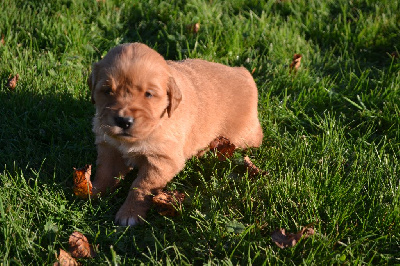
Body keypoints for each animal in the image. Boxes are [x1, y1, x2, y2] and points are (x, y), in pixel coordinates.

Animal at [88, 42, 262, 225]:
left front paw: (130, 213)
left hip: (242, 136)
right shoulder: (109, 146)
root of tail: (244, 73)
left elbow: (142, 186)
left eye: (148, 94)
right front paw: (92, 192)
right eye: (107, 91)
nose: (123, 121)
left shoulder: (163, 160)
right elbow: (105, 172)